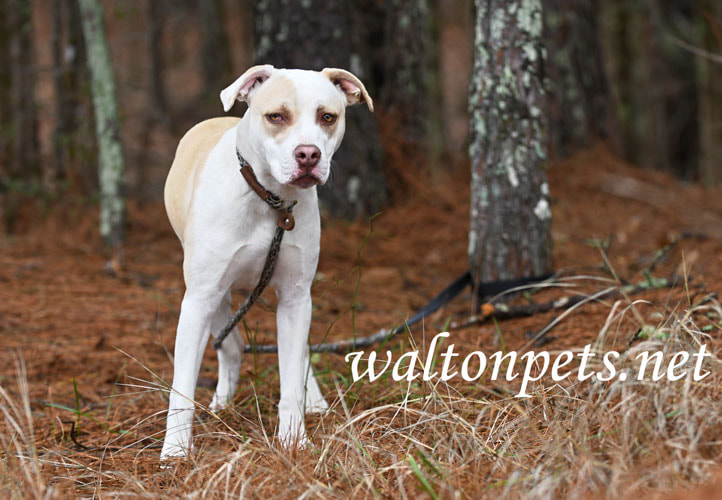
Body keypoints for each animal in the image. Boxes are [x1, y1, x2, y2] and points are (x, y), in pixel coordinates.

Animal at [161, 64, 374, 458]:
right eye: (276, 116)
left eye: (328, 117)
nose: (308, 155)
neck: (270, 199)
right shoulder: (199, 299)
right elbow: (181, 388)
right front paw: (176, 453)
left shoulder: (295, 297)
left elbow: (291, 376)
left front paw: (294, 440)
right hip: (216, 295)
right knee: (230, 346)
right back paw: (222, 403)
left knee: (296, 353)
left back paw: (313, 399)